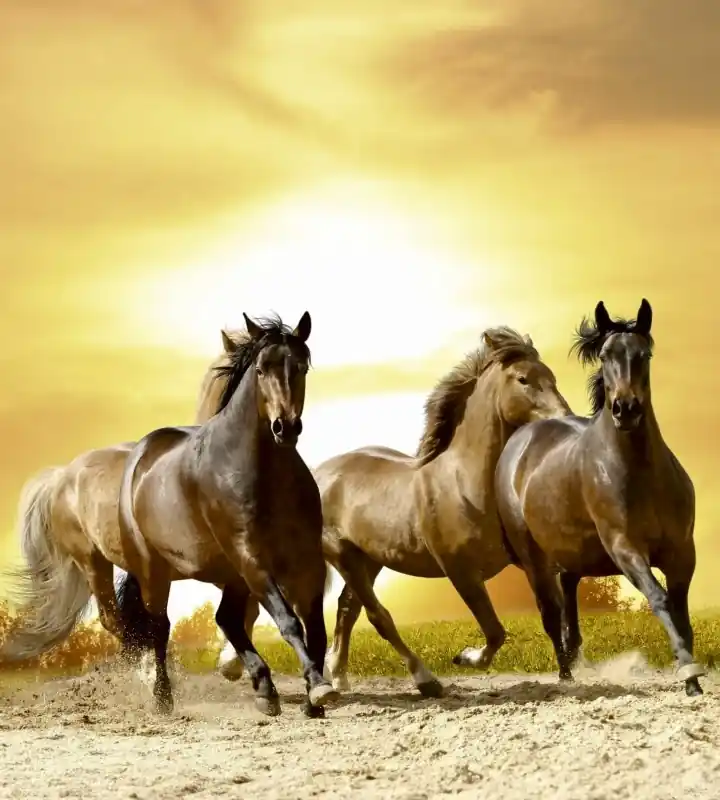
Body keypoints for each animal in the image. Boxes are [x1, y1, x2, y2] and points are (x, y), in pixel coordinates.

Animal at [214, 326, 572, 696]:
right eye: (523, 379)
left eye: (551, 376)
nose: (564, 419)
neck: (465, 483)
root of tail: (320, 474)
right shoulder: (460, 571)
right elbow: (494, 631)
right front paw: (465, 657)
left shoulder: (531, 560)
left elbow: (551, 613)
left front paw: (569, 672)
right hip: (344, 556)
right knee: (377, 616)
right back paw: (424, 679)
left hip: (369, 560)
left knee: (346, 609)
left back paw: (337, 674)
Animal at [494, 299, 705, 696]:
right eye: (606, 355)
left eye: (644, 353)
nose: (626, 409)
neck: (641, 474)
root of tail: (521, 438)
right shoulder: (625, 548)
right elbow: (660, 599)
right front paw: (688, 672)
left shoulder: (682, 551)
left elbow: (681, 609)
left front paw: (693, 679)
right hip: (534, 558)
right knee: (549, 613)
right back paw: (565, 676)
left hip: (571, 552)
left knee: (567, 597)